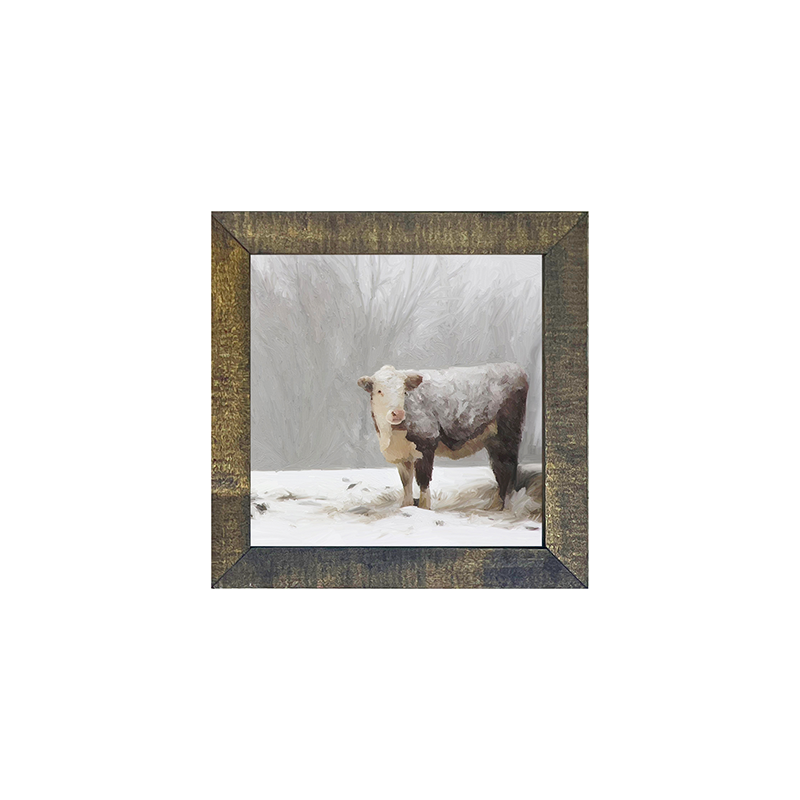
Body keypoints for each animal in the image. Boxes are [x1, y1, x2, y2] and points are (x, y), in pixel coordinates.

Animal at [357, 363, 528, 510]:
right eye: (379, 391)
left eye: (403, 391)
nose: (397, 413)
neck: (392, 435)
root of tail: (513, 367)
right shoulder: (402, 455)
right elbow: (406, 482)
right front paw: (406, 506)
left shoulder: (426, 444)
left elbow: (423, 481)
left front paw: (424, 508)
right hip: (493, 439)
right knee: (502, 468)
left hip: (507, 433)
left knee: (506, 467)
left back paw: (500, 505)